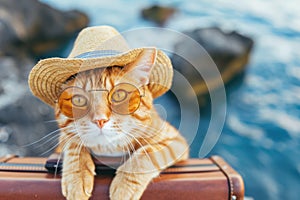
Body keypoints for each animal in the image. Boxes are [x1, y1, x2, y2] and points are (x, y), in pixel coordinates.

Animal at [54, 48, 189, 200]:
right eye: (78, 100)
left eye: (119, 95)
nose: (100, 120)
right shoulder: (64, 136)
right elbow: (73, 143)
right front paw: (77, 176)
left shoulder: (175, 140)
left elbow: (146, 153)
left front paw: (124, 185)